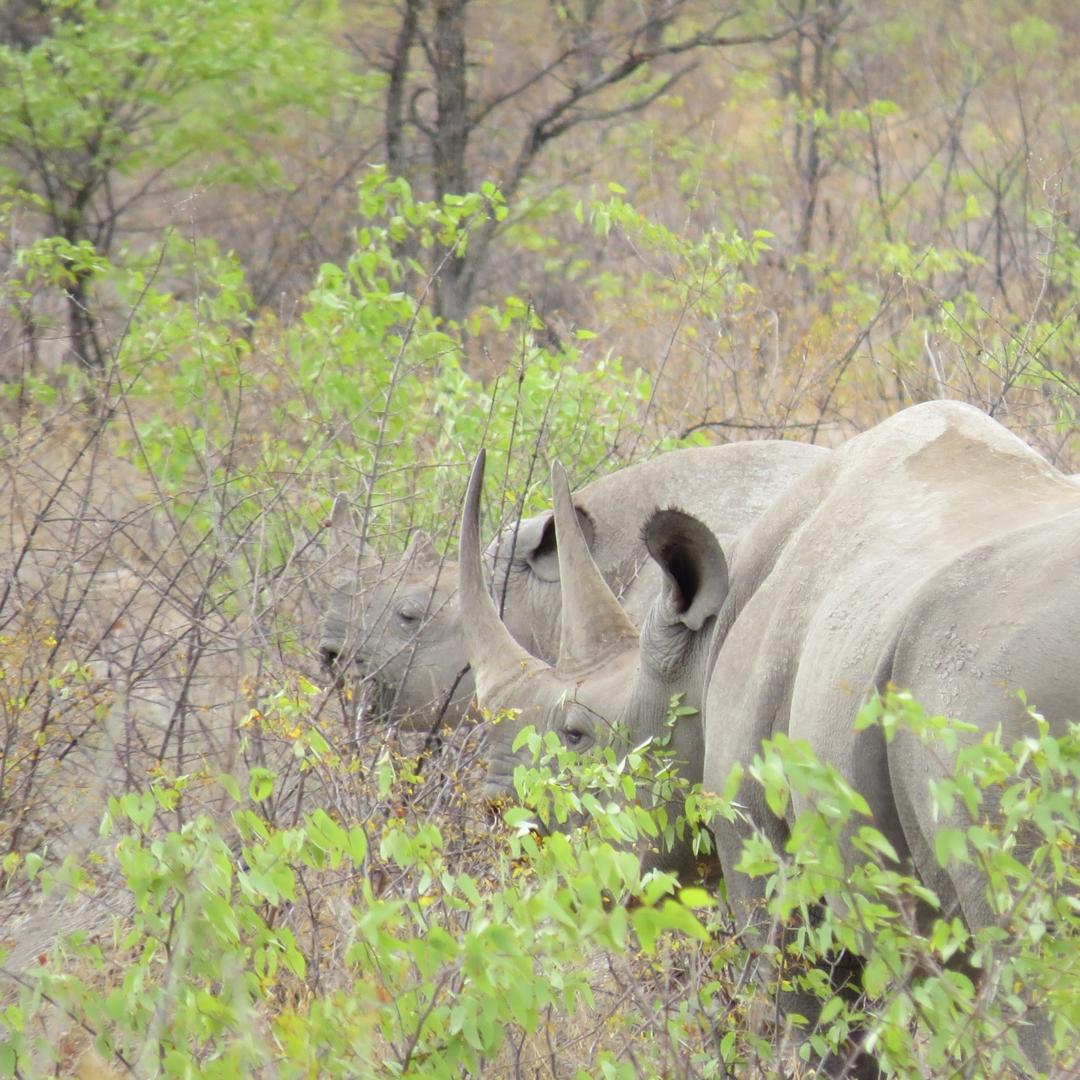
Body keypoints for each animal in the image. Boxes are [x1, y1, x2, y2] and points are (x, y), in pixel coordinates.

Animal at [459, 401, 1080, 1074]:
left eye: (575, 734)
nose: (501, 817)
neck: (701, 654)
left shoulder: (769, 859)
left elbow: (818, 1022)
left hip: (995, 710)